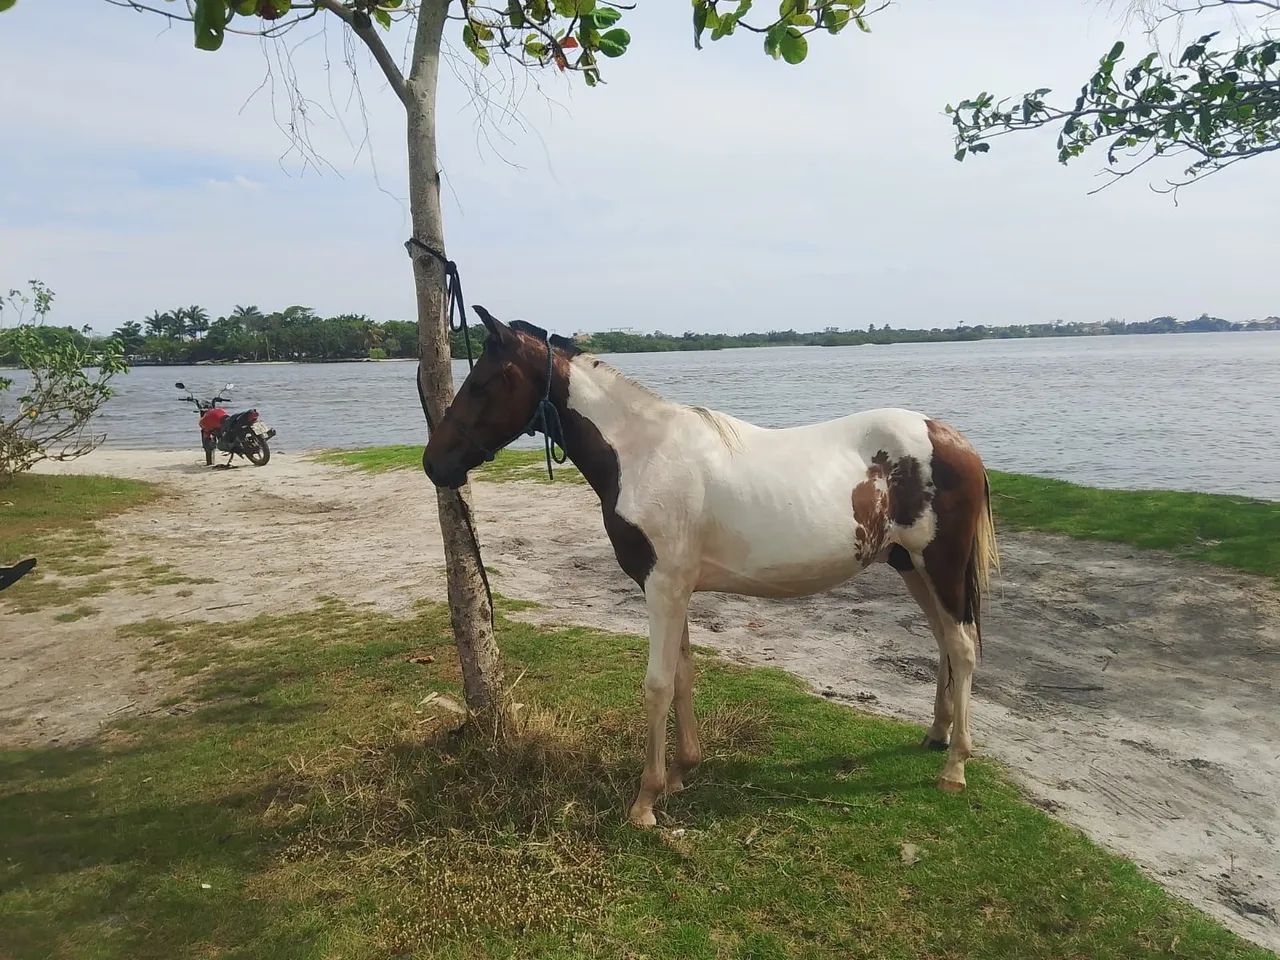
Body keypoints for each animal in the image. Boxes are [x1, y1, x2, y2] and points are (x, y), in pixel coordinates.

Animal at [423, 306, 999, 827]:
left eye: (485, 382)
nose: (434, 463)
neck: (644, 455)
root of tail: (951, 438)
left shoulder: (662, 587)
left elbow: (657, 683)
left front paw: (645, 802)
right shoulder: (674, 589)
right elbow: (682, 676)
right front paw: (681, 773)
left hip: (941, 564)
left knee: (964, 647)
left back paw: (954, 768)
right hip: (911, 566)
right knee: (945, 643)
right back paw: (937, 735)